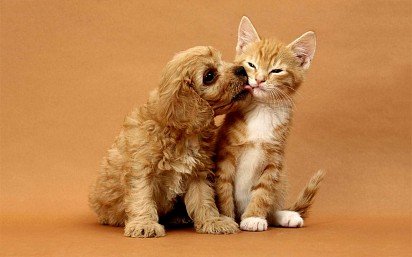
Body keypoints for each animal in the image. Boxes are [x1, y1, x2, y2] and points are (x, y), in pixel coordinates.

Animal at [89, 45, 249, 236]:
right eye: (209, 75)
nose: (242, 69)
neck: (181, 134)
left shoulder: (198, 172)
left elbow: (204, 198)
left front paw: (213, 221)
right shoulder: (141, 170)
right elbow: (141, 198)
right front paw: (144, 224)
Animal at [216, 17, 326, 231]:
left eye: (276, 70)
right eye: (251, 64)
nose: (259, 80)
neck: (262, 110)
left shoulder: (274, 160)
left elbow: (264, 192)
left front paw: (254, 217)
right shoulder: (225, 155)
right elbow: (223, 188)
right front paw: (225, 218)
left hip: (281, 179)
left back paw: (285, 215)